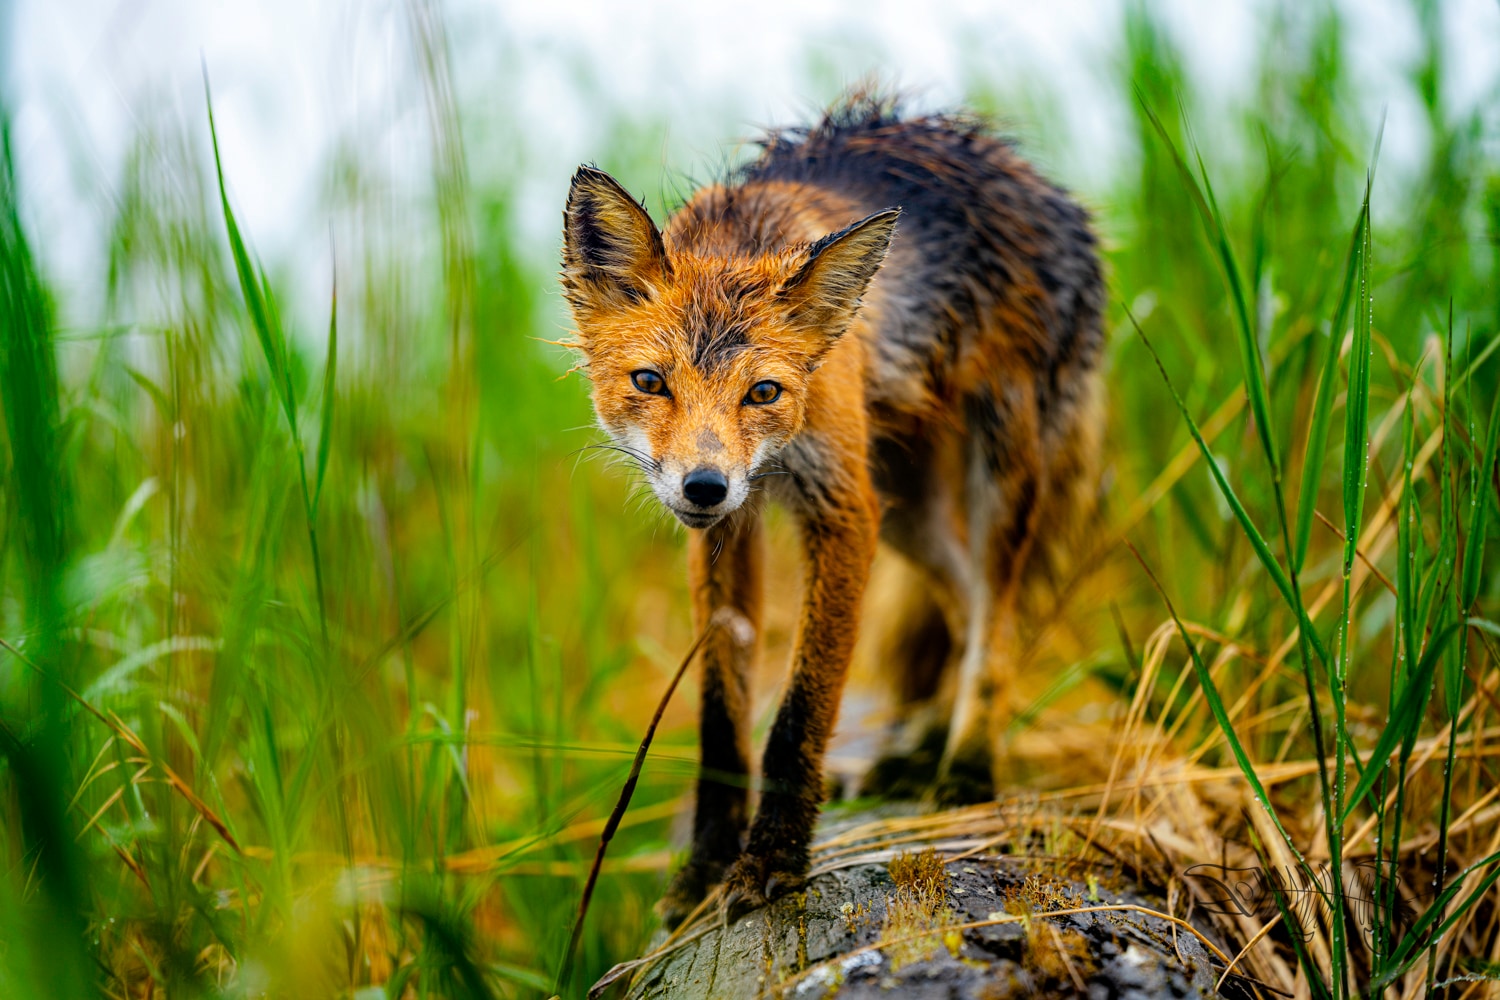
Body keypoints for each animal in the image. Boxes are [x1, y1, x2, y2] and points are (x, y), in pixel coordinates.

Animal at [559, 92, 1105, 927]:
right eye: (650, 382)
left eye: (764, 392)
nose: (704, 488)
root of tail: (1039, 181)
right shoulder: (729, 537)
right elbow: (722, 723)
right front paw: (704, 869)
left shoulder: (844, 512)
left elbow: (799, 713)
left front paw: (774, 861)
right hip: (909, 511)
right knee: (965, 606)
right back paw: (922, 751)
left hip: (995, 475)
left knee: (999, 624)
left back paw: (967, 769)